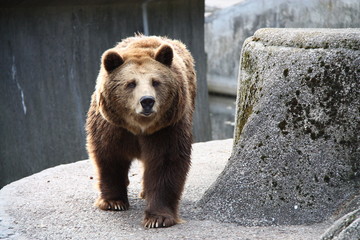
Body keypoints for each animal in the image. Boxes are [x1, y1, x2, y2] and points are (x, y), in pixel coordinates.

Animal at [85, 34, 195, 228]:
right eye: (130, 83)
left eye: (156, 82)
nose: (147, 101)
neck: (139, 127)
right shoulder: (112, 127)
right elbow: (109, 156)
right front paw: (114, 202)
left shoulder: (167, 128)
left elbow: (166, 163)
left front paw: (158, 218)